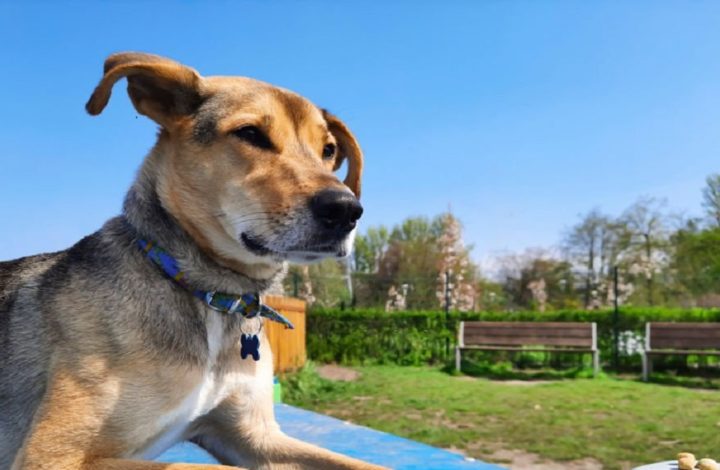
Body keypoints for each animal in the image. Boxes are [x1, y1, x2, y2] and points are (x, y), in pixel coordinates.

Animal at [1, 52, 382, 470]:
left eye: (328, 150)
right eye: (250, 133)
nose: (346, 210)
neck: (211, 293)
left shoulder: (253, 434)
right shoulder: (53, 455)